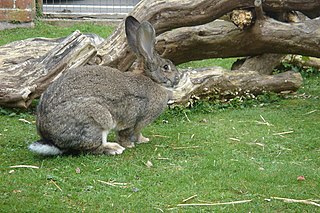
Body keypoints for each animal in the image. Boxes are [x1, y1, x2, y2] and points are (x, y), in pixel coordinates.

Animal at [28, 15, 180, 155]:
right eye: (166, 67)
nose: (178, 78)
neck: (153, 80)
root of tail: (51, 140)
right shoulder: (133, 118)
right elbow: (126, 132)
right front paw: (129, 145)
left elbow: (137, 134)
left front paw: (143, 140)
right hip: (98, 120)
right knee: (93, 147)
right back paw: (114, 148)